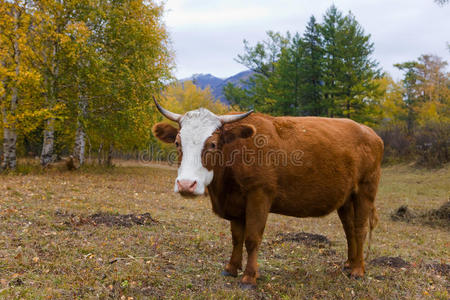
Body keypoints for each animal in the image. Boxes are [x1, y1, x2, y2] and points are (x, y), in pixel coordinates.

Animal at [152, 98, 384, 288]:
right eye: (177, 143)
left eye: (213, 144)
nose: (186, 184)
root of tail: (370, 132)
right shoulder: (235, 203)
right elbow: (236, 237)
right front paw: (231, 268)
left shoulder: (259, 196)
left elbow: (252, 238)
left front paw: (249, 277)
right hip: (346, 198)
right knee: (349, 229)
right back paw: (349, 263)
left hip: (365, 190)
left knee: (360, 228)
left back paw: (358, 270)